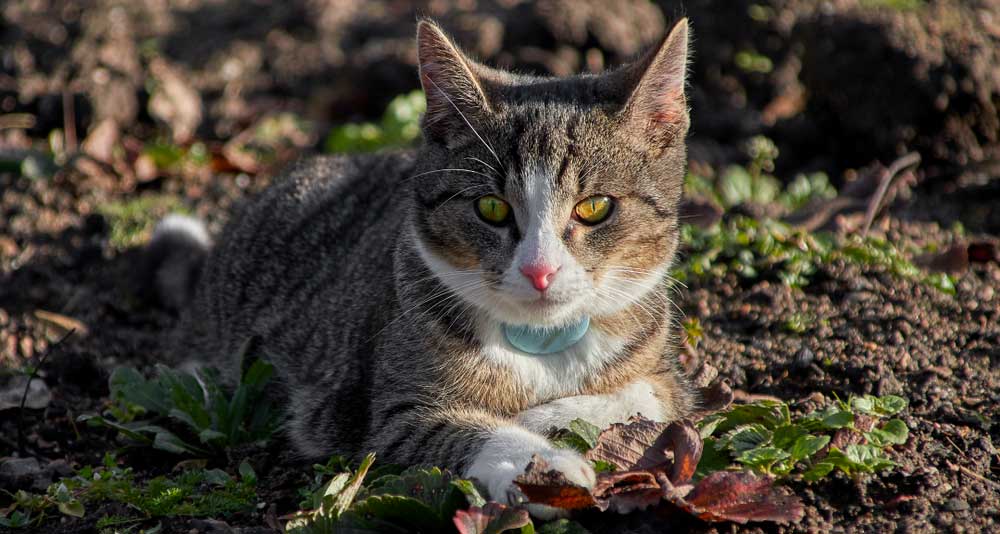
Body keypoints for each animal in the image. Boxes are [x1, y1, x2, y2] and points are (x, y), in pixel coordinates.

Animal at [152, 18, 696, 516]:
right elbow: (459, 431)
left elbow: (653, 399)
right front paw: (546, 466)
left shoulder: (664, 372)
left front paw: (547, 418)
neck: (540, 344)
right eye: (491, 208)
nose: (539, 271)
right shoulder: (386, 415)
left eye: (594, 207)